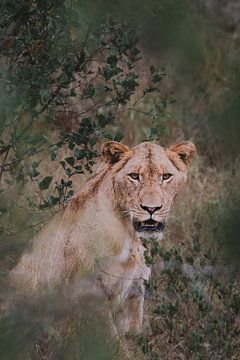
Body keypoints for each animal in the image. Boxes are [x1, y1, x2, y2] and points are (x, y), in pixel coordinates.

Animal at [10, 141, 196, 334]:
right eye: (134, 176)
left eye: (166, 176)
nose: (151, 208)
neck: (131, 236)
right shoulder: (91, 294)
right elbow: (111, 339)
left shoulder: (135, 291)